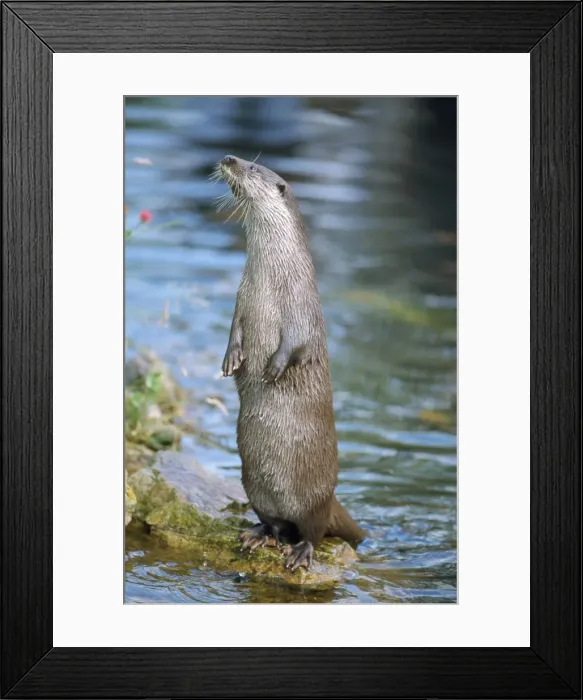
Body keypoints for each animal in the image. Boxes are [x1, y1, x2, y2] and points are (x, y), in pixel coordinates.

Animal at [214, 155, 365, 571]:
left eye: (252, 167)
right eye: (242, 158)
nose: (229, 158)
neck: (269, 280)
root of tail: (331, 499)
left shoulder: (302, 309)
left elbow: (295, 343)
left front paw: (273, 368)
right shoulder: (241, 299)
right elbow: (234, 329)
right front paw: (231, 359)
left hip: (313, 499)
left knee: (313, 530)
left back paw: (301, 552)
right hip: (254, 487)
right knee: (276, 522)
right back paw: (257, 533)